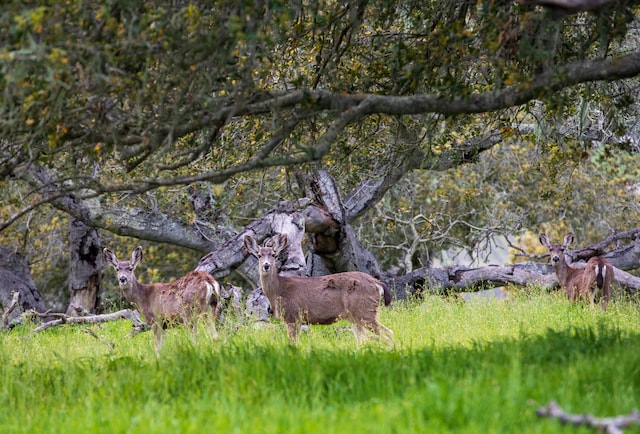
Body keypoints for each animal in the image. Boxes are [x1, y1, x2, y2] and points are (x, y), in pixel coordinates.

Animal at [245, 232, 396, 348]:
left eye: (273, 254)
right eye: (259, 255)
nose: (266, 266)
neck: (278, 291)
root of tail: (377, 283)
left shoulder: (292, 316)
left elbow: (293, 344)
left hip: (364, 310)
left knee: (386, 335)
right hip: (356, 315)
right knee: (370, 338)